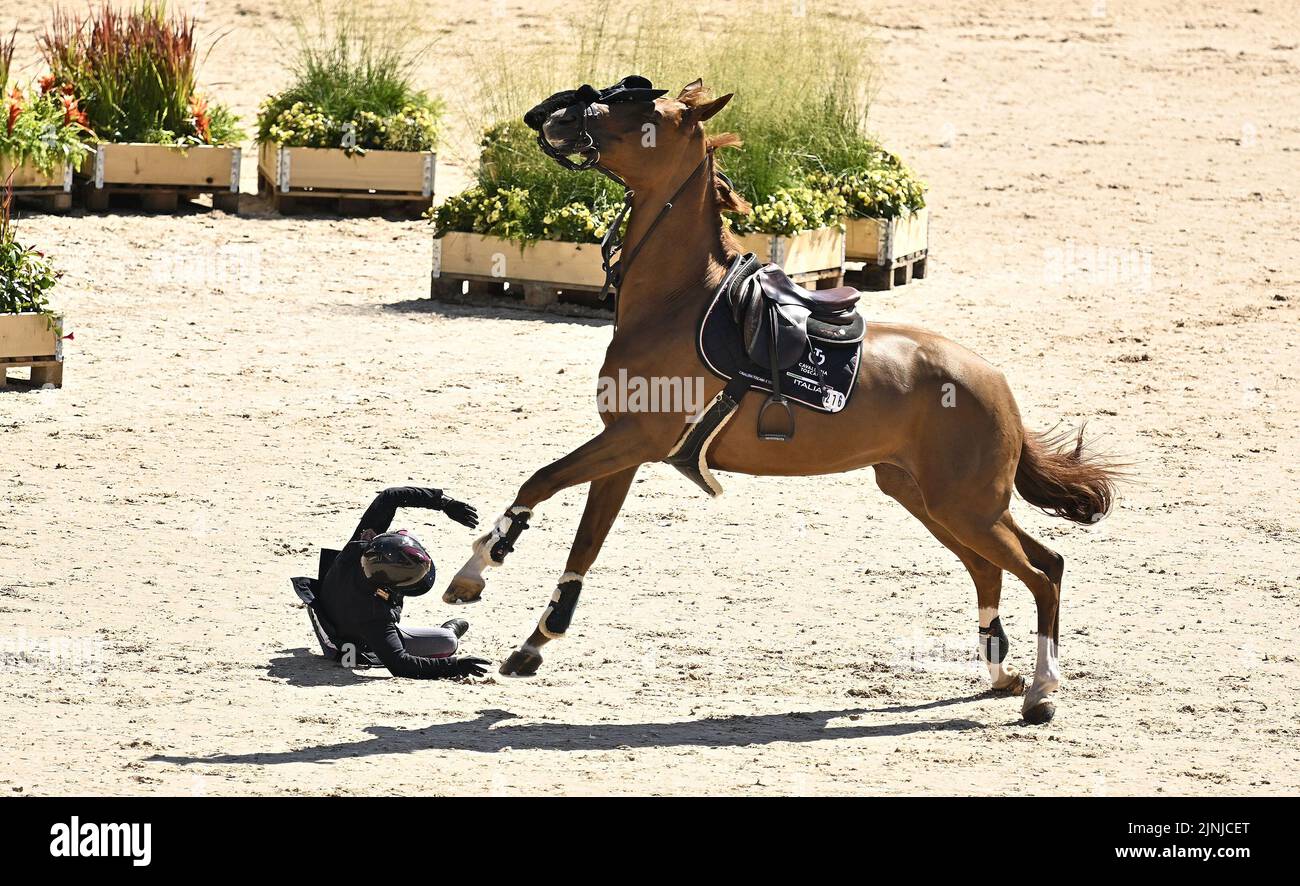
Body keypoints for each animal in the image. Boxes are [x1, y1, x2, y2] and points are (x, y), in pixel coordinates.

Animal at [444, 79, 1118, 722]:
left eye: (646, 117)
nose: (552, 116)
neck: (678, 303)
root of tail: (995, 382)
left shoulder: (631, 440)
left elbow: (538, 481)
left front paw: (474, 573)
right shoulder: (623, 451)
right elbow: (584, 541)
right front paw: (535, 640)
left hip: (965, 506)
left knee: (1042, 571)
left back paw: (1042, 692)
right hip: (932, 500)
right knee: (998, 569)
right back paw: (1003, 674)